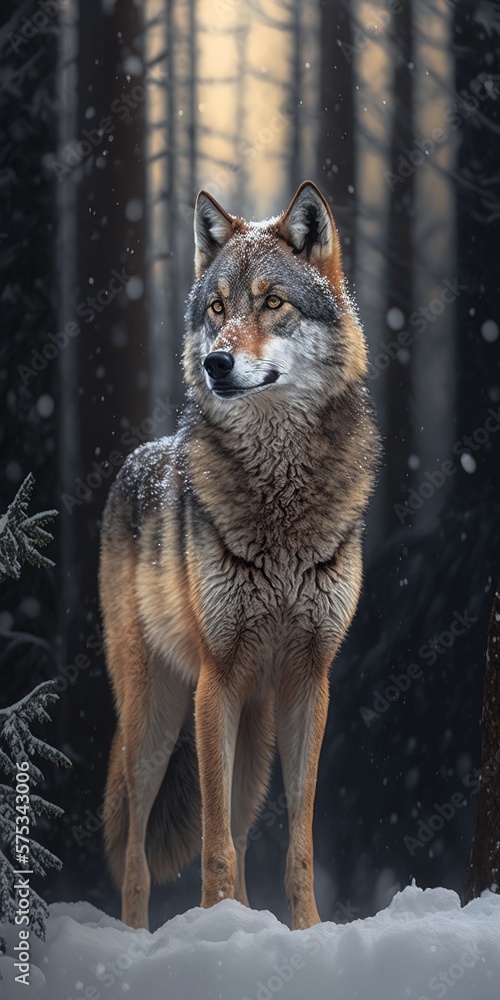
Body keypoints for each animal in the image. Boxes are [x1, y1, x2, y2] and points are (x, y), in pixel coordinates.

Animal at [100, 180, 381, 931]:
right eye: (218, 309)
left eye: (273, 302)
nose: (215, 362)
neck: (279, 495)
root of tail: (132, 463)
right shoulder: (214, 680)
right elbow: (213, 843)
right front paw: (211, 928)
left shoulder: (311, 681)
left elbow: (296, 840)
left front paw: (305, 931)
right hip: (155, 719)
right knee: (137, 854)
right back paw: (141, 937)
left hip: (255, 735)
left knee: (244, 827)